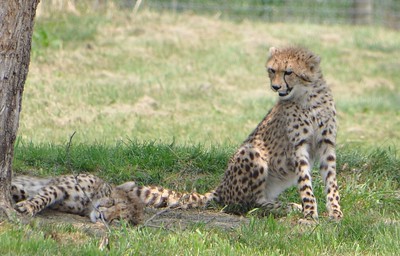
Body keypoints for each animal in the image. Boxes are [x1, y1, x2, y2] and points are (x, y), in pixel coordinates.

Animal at [10, 173, 145, 225]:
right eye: (112, 202)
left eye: (118, 219)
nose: (103, 217)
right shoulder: (58, 187)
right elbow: (45, 197)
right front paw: (28, 206)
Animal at [117, 47, 342, 223]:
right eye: (272, 70)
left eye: (288, 72)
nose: (275, 86)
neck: (308, 96)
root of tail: (221, 187)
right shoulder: (298, 146)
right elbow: (305, 183)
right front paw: (310, 213)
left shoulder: (326, 144)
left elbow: (331, 181)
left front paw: (335, 213)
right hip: (252, 152)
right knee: (248, 204)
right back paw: (283, 208)